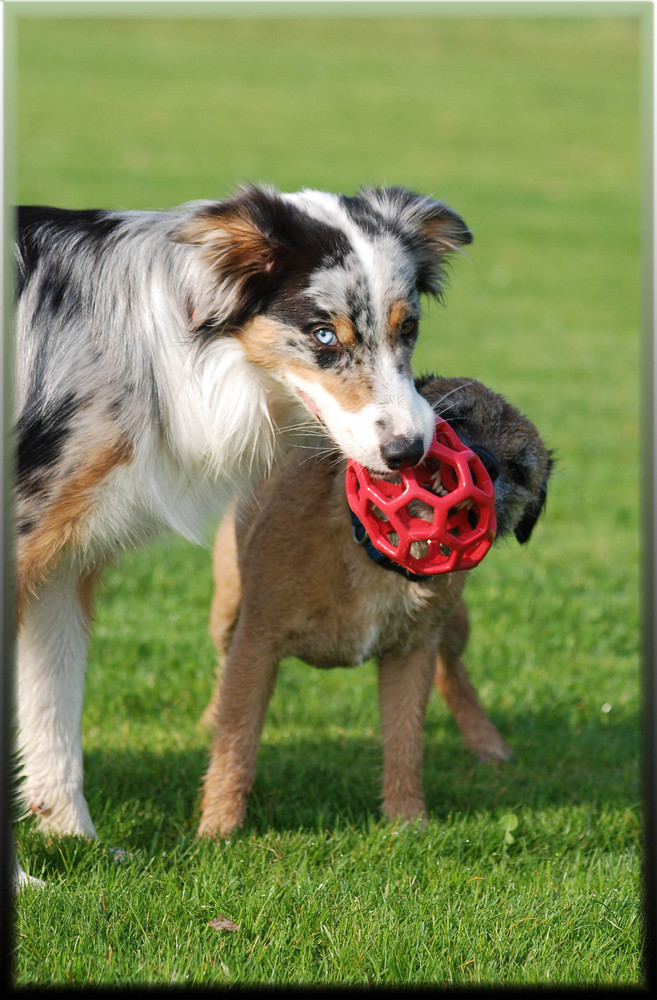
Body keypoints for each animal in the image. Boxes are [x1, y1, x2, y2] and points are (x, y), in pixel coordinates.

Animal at [199, 376, 548, 836]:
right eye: (452, 419)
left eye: (518, 469)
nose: (485, 464)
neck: (375, 554)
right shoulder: (256, 644)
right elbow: (237, 737)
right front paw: (220, 824)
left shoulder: (410, 656)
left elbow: (406, 741)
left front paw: (408, 820)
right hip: (227, 609)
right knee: (223, 665)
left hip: (453, 624)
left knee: (452, 671)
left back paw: (485, 740)